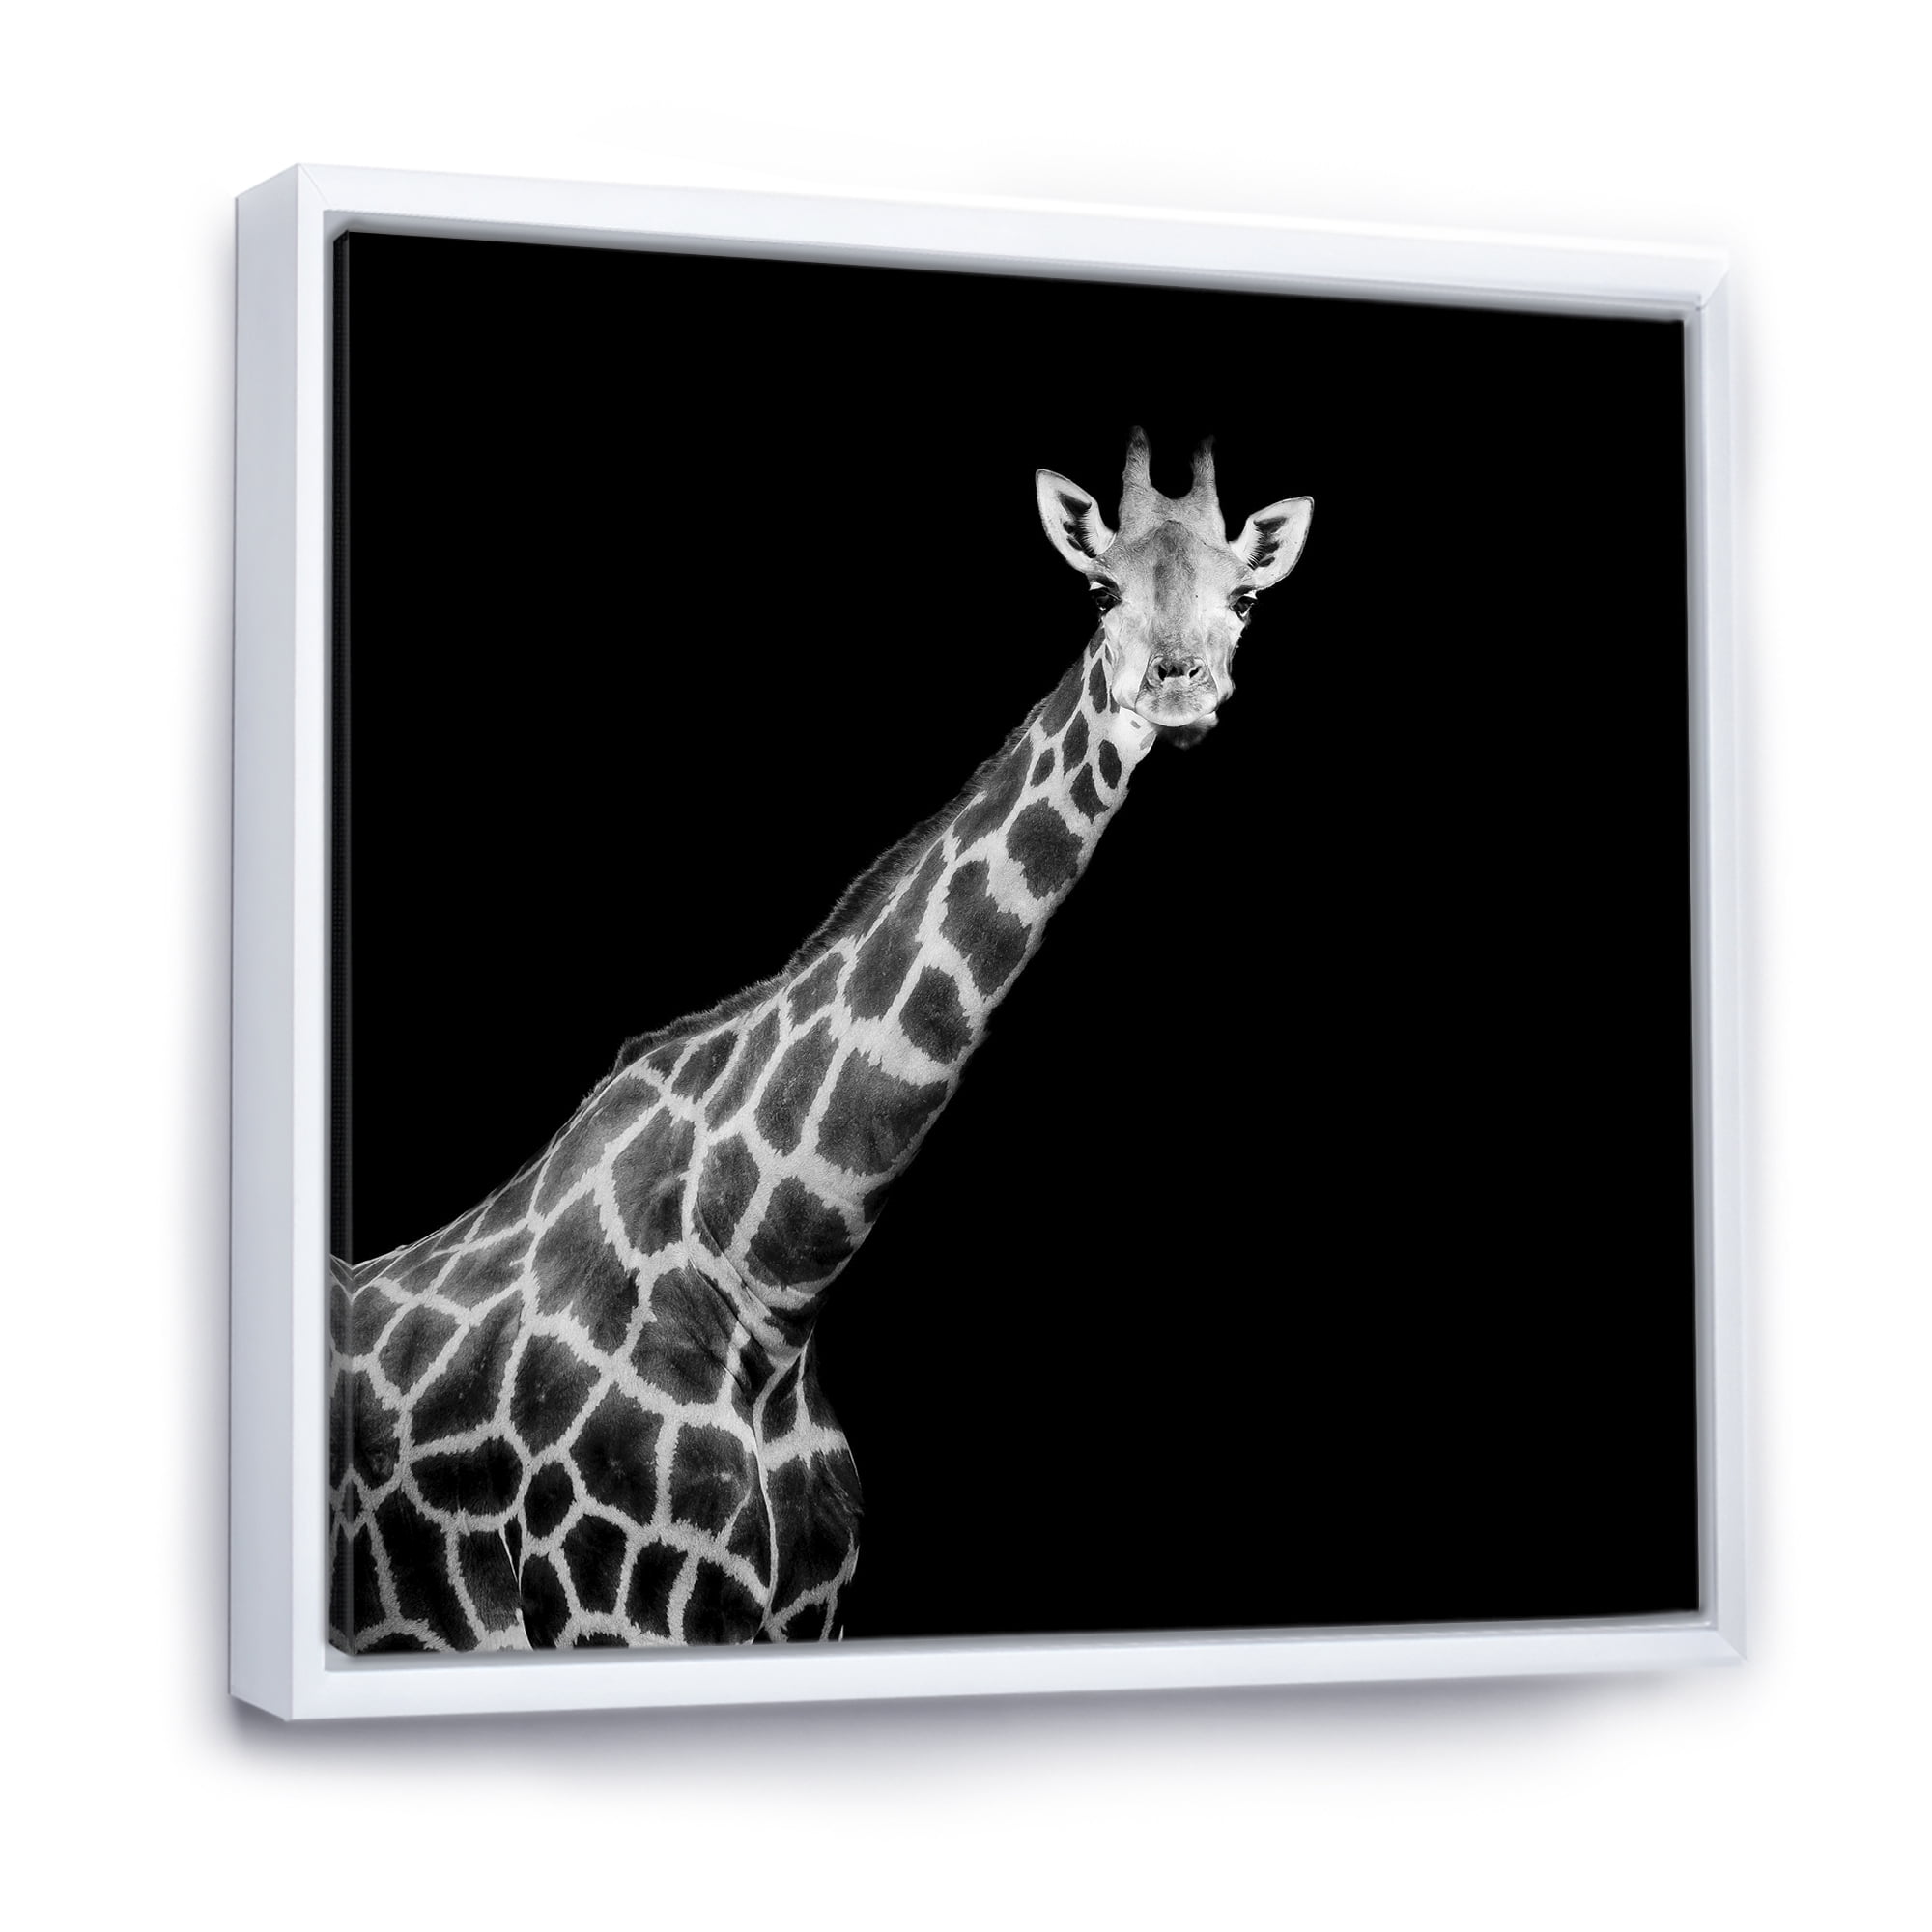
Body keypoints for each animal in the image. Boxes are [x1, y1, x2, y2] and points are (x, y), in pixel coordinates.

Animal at [327, 429, 1314, 1652]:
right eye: (1099, 588)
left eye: (1242, 598)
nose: (1177, 686)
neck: (769, 1281)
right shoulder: (610, 1613)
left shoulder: (812, 1615)